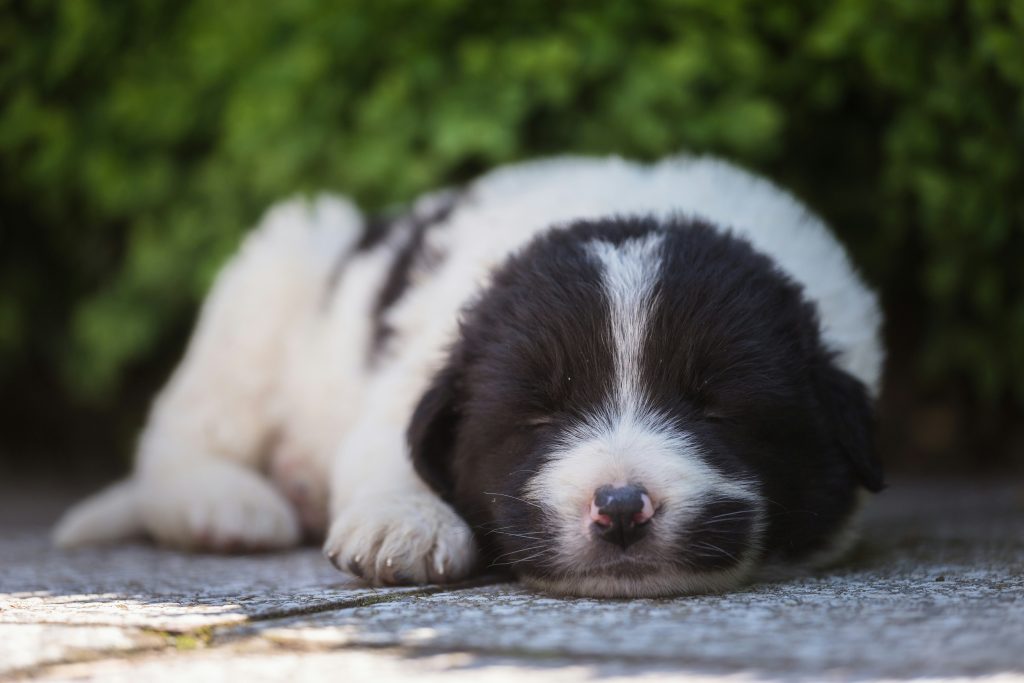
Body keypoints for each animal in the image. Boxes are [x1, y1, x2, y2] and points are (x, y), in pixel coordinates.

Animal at [56, 154, 884, 598]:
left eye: (715, 409)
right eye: (540, 413)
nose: (620, 506)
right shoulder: (411, 373)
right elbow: (390, 448)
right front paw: (404, 523)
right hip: (275, 275)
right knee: (184, 428)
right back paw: (225, 503)